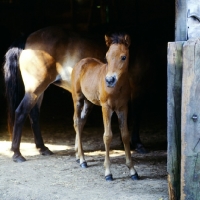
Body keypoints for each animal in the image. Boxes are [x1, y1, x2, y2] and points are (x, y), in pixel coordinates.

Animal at [3, 25, 146, 162]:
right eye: (107, 57)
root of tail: (28, 37)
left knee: (34, 114)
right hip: (35, 88)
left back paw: (42, 148)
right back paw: (17, 153)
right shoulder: (137, 88)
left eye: (123, 57)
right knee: (21, 112)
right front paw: (137, 144)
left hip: (39, 90)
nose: (110, 79)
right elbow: (136, 114)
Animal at [72, 33, 139, 181]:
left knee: (81, 123)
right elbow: (107, 136)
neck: (117, 88)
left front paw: (132, 170)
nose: (109, 80)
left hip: (89, 103)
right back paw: (82, 160)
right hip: (78, 99)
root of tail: (81, 62)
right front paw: (108, 172)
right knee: (76, 122)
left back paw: (79, 156)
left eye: (123, 57)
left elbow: (125, 135)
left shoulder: (123, 107)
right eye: (106, 57)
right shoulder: (106, 107)